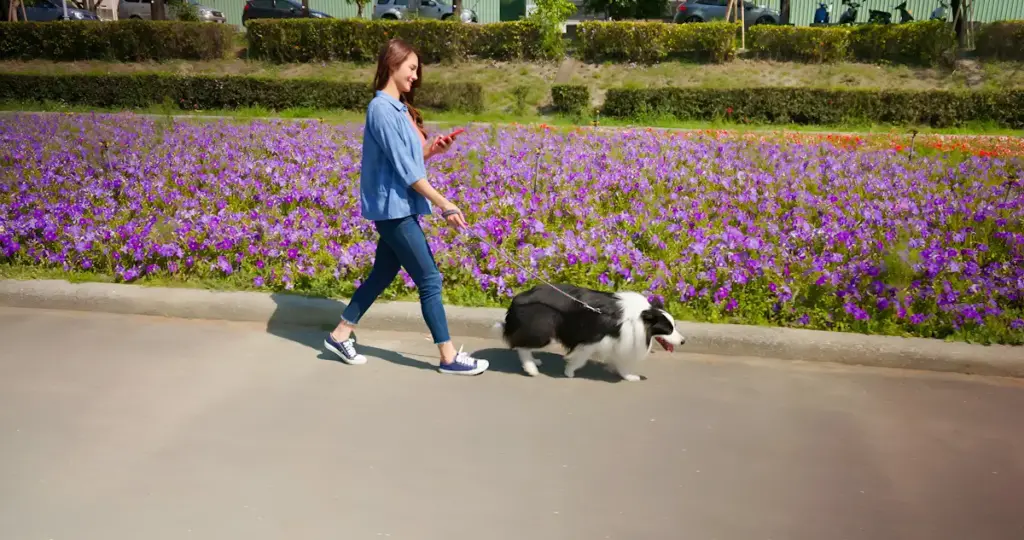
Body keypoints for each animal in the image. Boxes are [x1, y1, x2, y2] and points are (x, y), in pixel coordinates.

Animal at [491, 282, 684, 381]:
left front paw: (629, 376)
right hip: (544, 331)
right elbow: (580, 359)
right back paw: (531, 368)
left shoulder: (619, 341)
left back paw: (534, 362)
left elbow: (621, 362)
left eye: (674, 326)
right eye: (668, 330)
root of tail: (517, 298)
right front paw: (569, 371)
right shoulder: (593, 339)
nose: (683, 341)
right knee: (521, 346)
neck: (639, 317)